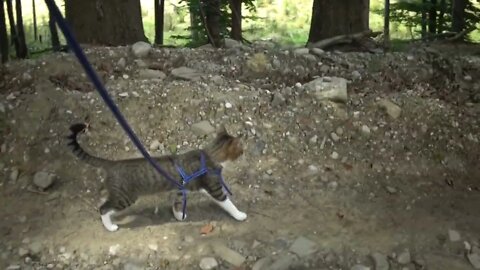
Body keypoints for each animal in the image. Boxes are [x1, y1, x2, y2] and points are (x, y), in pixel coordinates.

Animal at [66, 123, 248, 231]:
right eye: (241, 149)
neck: (210, 155)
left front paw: (179, 216)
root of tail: (113, 163)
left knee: (105, 204)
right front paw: (240, 215)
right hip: (126, 197)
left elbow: (177, 203)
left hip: (118, 195)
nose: (244, 151)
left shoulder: (180, 189)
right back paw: (110, 226)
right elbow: (228, 203)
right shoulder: (214, 188)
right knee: (103, 208)